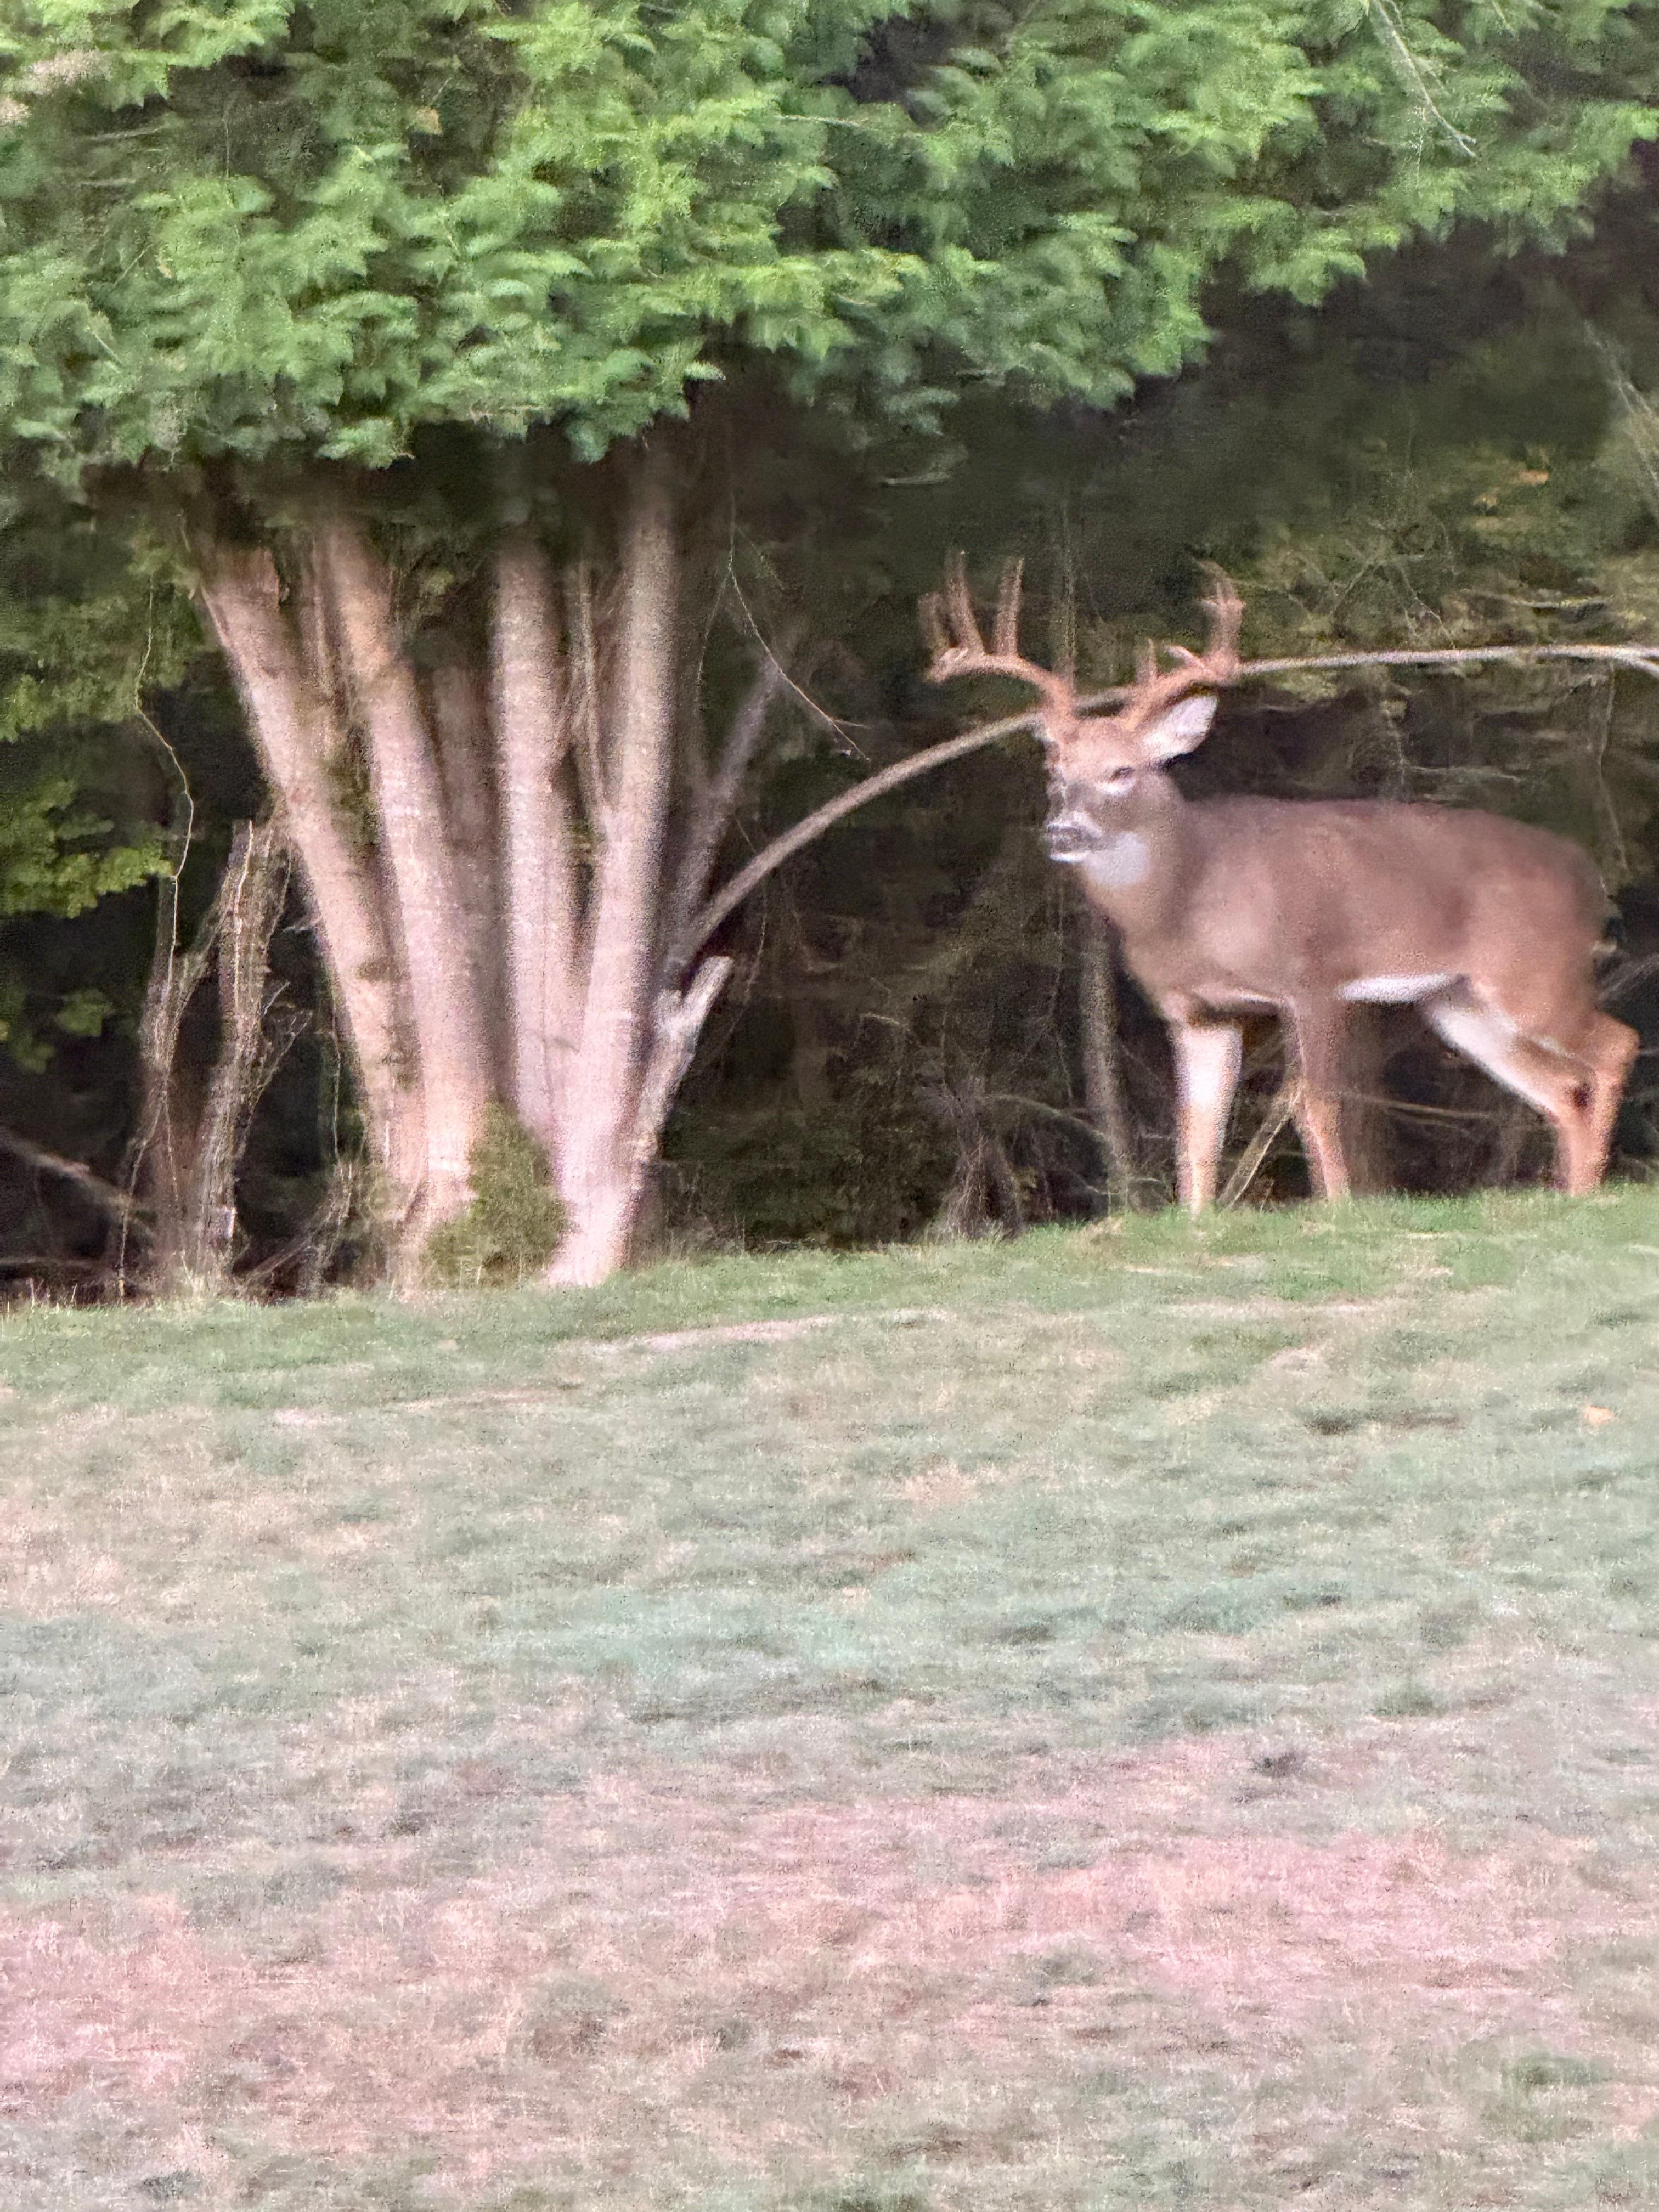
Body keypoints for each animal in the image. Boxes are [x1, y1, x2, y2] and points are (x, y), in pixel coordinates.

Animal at [922, 557, 1638, 1212]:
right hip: (1458, 1003)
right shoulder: (1196, 1011)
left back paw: (1591, 1195)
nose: (1063, 831)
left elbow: (1315, 1105)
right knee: (1560, 1088)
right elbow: (1196, 1129)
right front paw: (1197, 1223)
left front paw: (1339, 1211)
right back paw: (1572, 1194)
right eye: (1055, 771)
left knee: (1613, 1047)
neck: (1187, 901)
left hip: (1535, 970)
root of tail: (1589, 876)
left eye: (1123, 771)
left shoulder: (1312, 978)